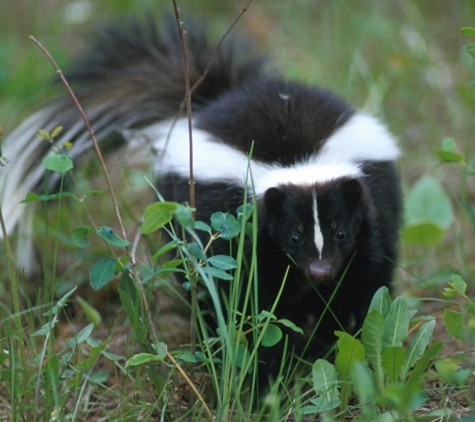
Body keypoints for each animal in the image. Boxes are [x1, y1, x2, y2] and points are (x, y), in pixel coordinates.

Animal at [0, 16, 402, 380]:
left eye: (340, 233)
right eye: (293, 236)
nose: (320, 271)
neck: (297, 160)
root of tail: (220, 95)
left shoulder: (368, 215)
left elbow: (363, 282)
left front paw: (342, 340)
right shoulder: (241, 234)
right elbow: (247, 303)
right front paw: (262, 374)